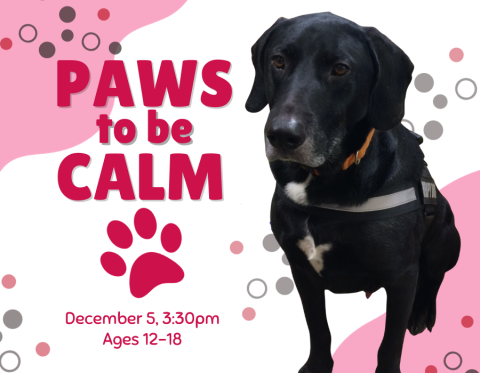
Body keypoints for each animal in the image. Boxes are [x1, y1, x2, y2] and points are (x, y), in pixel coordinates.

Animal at [248, 12, 462, 372]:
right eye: (278, 61)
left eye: (340, 69)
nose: (281, 136)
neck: (326, 178)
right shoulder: (301, 268)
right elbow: (318, 327)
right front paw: (318, 365)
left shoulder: (403, 276)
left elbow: (390, 345)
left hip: (447, 237)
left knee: (434, 277)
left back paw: (422, 313)